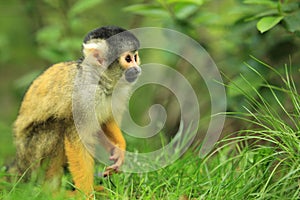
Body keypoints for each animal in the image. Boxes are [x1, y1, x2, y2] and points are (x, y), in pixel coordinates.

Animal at [9, 26, 141, 197]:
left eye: (136, 57)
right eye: (128, 59)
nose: (137, 68)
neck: (101, 82)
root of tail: (19, 161)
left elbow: (104, 120)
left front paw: (119, 148)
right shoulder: (83, 97)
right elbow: (78, 139)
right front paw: (86, 194)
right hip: (30, 156)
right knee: (57, 127)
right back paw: (52, 192)